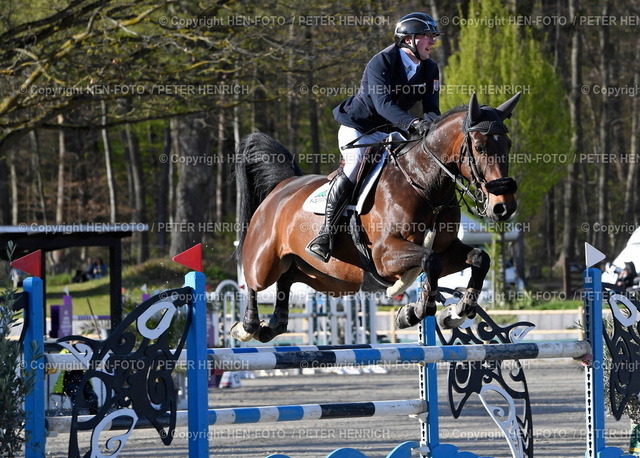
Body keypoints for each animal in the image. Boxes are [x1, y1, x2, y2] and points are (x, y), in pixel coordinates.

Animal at [230, 91, 520, 344]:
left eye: (508, 145)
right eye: (480, 147)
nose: (503, 207)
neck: (425, 184)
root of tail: (283, 186)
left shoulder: (447, 249)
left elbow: (478, 259)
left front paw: (455, 313)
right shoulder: (383, 255)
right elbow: (430, 261)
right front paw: (414, 312)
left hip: (324, 276)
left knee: (287, 278)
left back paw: (274, 325)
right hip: (265, 261)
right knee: (254, 282)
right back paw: (248, 326)